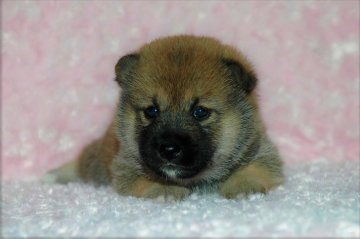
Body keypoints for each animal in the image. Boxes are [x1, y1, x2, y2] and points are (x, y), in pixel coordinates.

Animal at [47, 35, 284, 200]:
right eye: (151, 111)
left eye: (200, 112)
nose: (169, 149)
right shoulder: (126, 168)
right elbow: (145, 181)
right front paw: (165, 190)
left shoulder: (262, 152)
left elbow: (254, 170)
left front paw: (243, 186)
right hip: (96, 162)